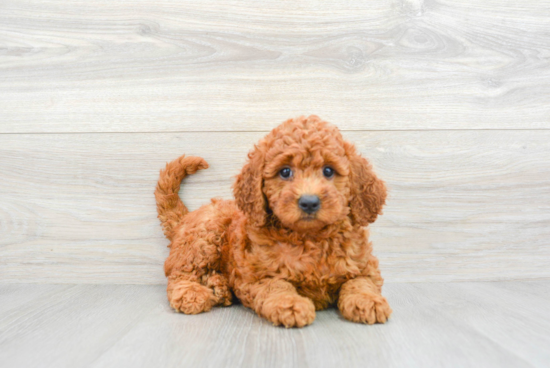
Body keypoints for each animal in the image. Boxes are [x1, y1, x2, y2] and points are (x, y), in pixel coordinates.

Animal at [155, 115, 392, 328]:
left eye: (328, 170)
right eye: (285, 172)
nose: (309, 202)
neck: (310, 237)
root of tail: (186, 217)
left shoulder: (364, 264)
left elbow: (361, 282)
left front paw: (368, 301)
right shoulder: (256, 275)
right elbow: (276, 286)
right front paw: (290, 305)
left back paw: (219, 287)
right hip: (204, 236)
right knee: (180, 273)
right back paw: (192, 293)